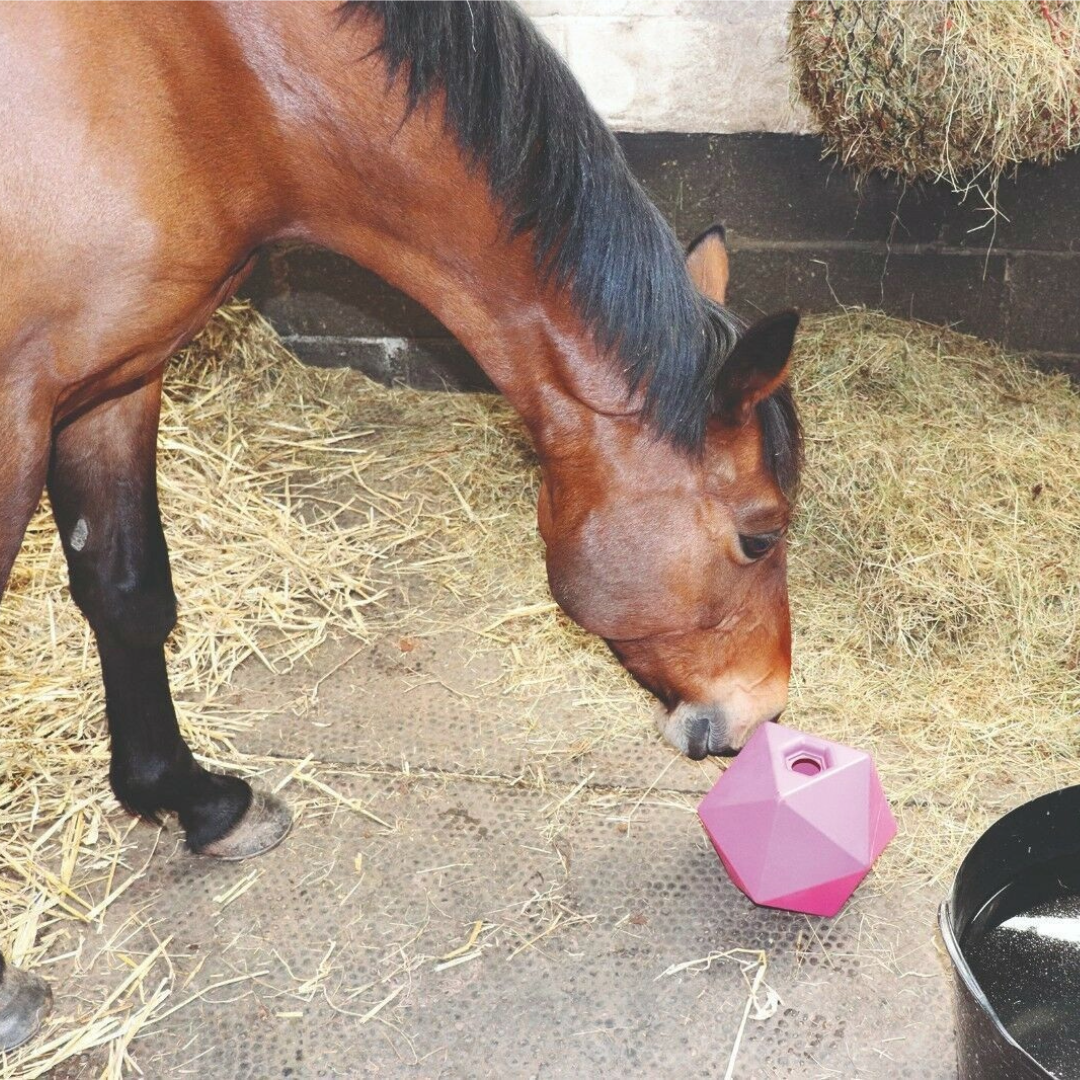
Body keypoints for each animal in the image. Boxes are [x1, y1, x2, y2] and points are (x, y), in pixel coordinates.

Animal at [0, 0, 801, 1047]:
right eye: (762, 533)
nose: (763, 712)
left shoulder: (112, 377)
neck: (197, 74)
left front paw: (198, 802)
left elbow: (129, 593)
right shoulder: (15, 405)